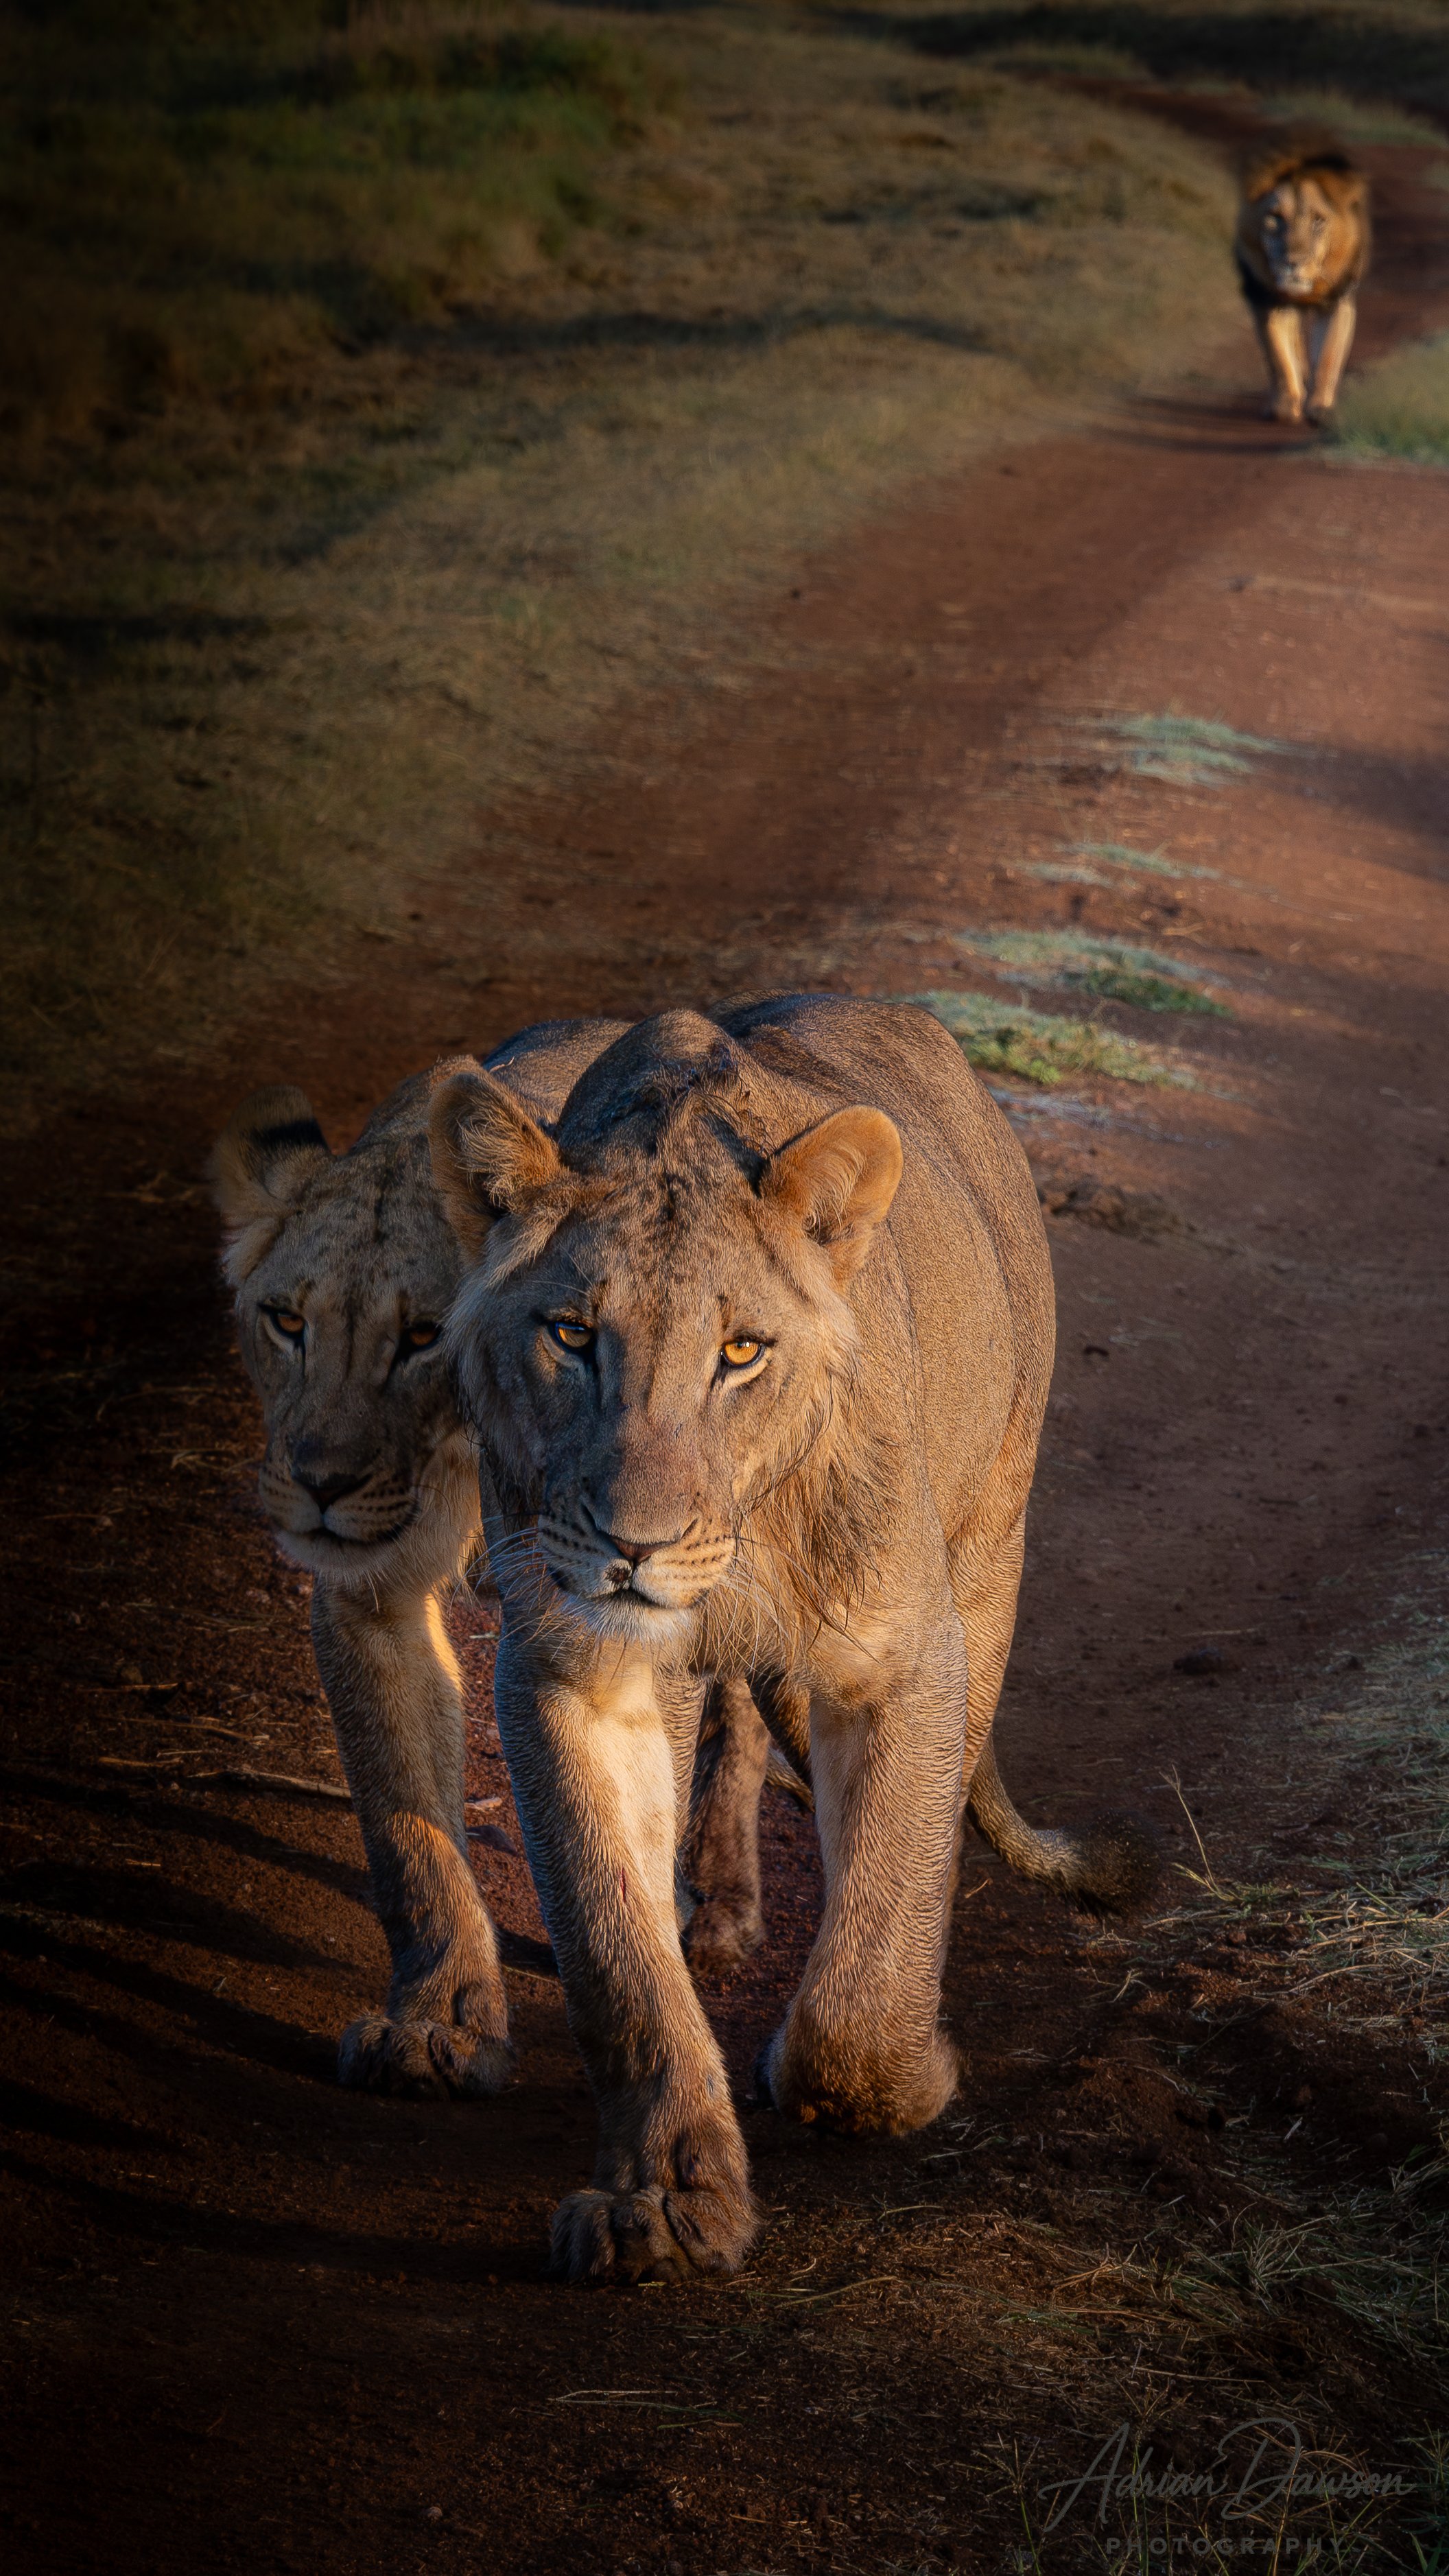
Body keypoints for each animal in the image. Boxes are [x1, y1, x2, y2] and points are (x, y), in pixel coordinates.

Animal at [429, 993, 1155, 2282]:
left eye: (740, 1352)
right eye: (571, 1334)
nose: (633, 1545)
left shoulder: (905, 1656)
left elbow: (868, 1964)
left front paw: (898, 2076)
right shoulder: (570, 1666)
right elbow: (616, 1951)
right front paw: (665, 2198)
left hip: (993, 1532)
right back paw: (713, 1908)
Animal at [1236, 142, 1369, 424]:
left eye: (1318, 220)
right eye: (1275, 218)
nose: (1293, 263)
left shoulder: (1337, 301)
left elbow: (1328, 355)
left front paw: (1321, 408)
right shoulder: (1266, 300)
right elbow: (1278, 355)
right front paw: (1285, 407)